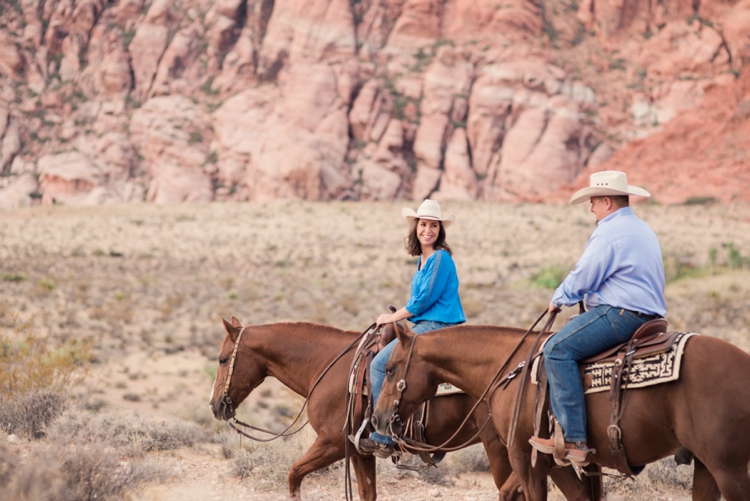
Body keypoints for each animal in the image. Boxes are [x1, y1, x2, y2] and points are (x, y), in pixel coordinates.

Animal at [209, 318, 596, 500]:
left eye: (223, 358)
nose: (214, 405)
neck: (328, 366)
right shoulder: (359, 451)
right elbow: (367, 493)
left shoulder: (332, 444)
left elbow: (293, 475)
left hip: (502, 449)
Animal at [374, 324, 750, 500]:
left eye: (389, 368)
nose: (377, 418)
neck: (508, 367)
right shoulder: (556, 463)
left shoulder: (523, 456)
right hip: (707, 466)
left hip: (727, 467)